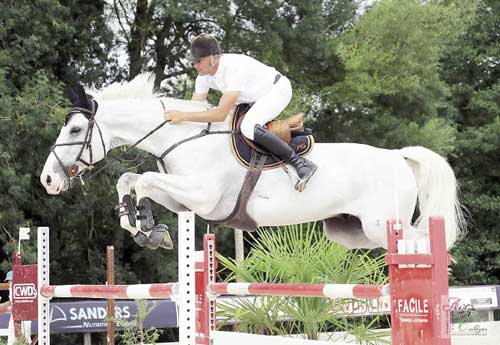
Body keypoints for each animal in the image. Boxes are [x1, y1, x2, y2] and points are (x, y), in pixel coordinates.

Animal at [39, 74, 464, 249]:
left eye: (75, 128)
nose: (47, 180)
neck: (183, 137)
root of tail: (397, 157)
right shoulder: (186, 201)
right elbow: (128, 179)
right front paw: (139, 225)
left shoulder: (203, 195)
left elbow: (141, 180)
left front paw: (148, 229)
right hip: (351, 231)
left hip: (381, 225)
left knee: (426, 241)